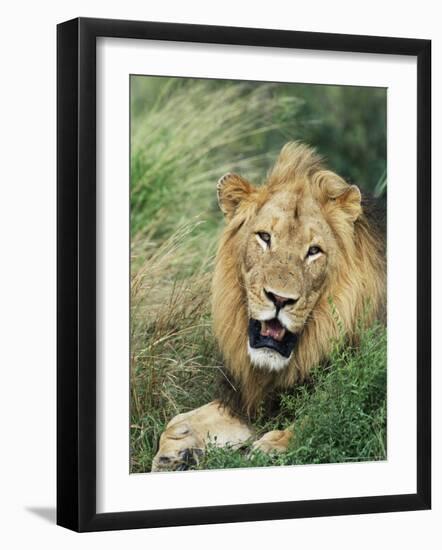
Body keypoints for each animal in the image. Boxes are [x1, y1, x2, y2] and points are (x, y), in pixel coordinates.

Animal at [150, 143, 386, 474]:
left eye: (314, 251)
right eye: (264, 237)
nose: (280, 299)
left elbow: (320, 421)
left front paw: (273, 448)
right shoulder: (255, 398)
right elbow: (177, 421)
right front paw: (177, 451)